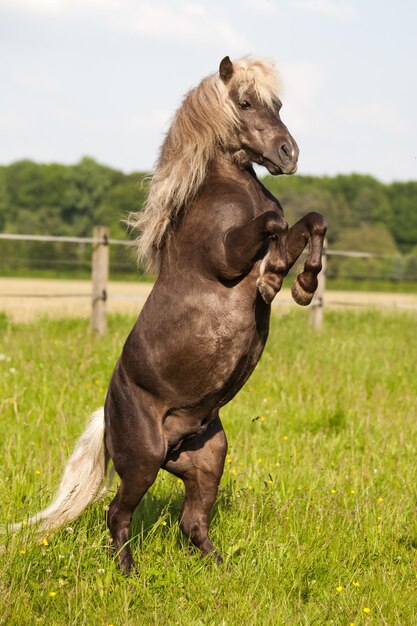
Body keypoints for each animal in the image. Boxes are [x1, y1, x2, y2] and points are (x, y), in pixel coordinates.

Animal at [9, 56, 326, 572]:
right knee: (117, 514)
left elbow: (312, 220)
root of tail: (108, 414)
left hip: (208, 457)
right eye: (244, 102)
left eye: (278, 104)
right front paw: (274, 277)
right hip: (142, 462)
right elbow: (274, 223)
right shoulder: (226, 257)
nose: (289, 153)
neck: (225, 187)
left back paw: (221, 569)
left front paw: (302, 283)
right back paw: (128, 574)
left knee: (190, 522)